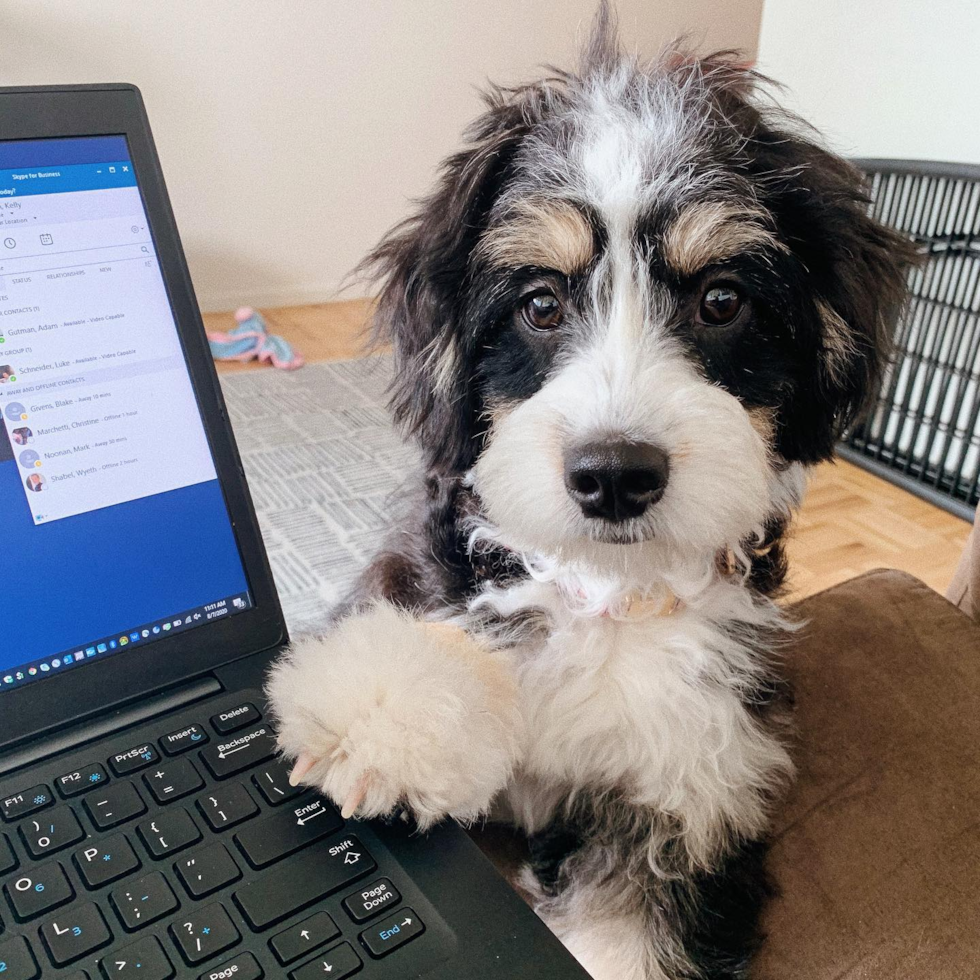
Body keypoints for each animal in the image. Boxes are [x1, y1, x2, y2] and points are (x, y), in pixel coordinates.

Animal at [264, 5, 916, 972]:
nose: (614, 476)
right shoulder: (437, 557)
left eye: (723, 301)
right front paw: (385, 710)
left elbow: (629, 934)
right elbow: (435, 609)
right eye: (540, 304)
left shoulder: (692, 801)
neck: (612, 594)